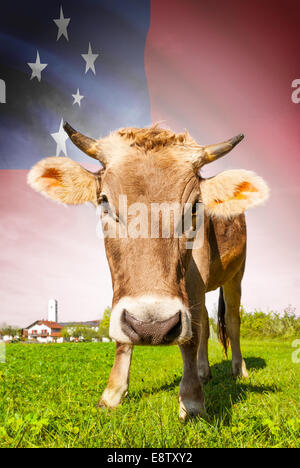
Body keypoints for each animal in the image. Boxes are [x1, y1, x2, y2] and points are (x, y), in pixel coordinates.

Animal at [27, 122, 270, 418]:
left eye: (195, 207)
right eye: (104, 201)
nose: (152, 327)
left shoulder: (196, 276)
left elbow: (190, 336)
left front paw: (192, 400)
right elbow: (126, 334)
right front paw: (112, 393)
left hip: (236, 274)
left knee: (232, 322)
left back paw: (239, 370)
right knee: (205, 324)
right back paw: (204, 372)